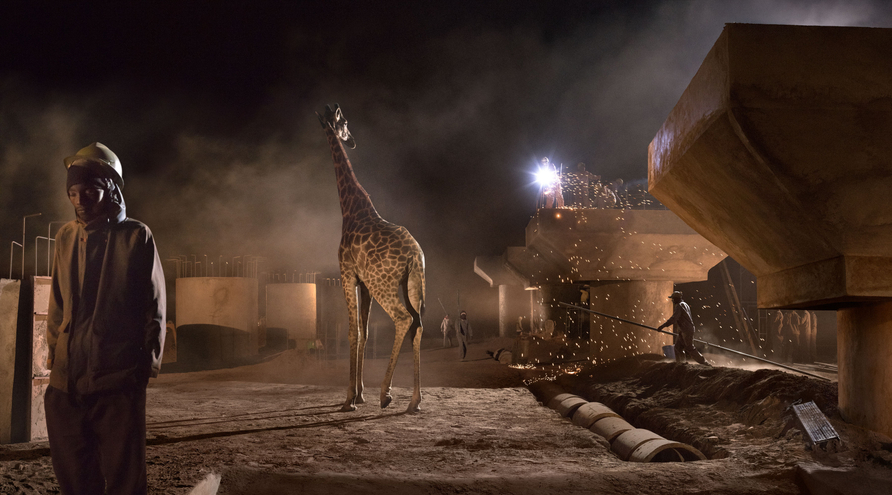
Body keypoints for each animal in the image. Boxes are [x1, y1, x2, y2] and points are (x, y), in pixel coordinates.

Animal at [317, 103, 426, 413]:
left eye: (343, 121)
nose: (351, 140)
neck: (350, 207)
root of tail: (415, 255)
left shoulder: (347, 273)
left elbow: (353, 332)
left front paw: (349, 399)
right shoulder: (364, 283)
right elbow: (364, 331)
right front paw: (360, 394)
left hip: (384, 284)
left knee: (403, 319)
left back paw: (386, 394)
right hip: (413, 284)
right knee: (418, 324)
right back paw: (414, 400)